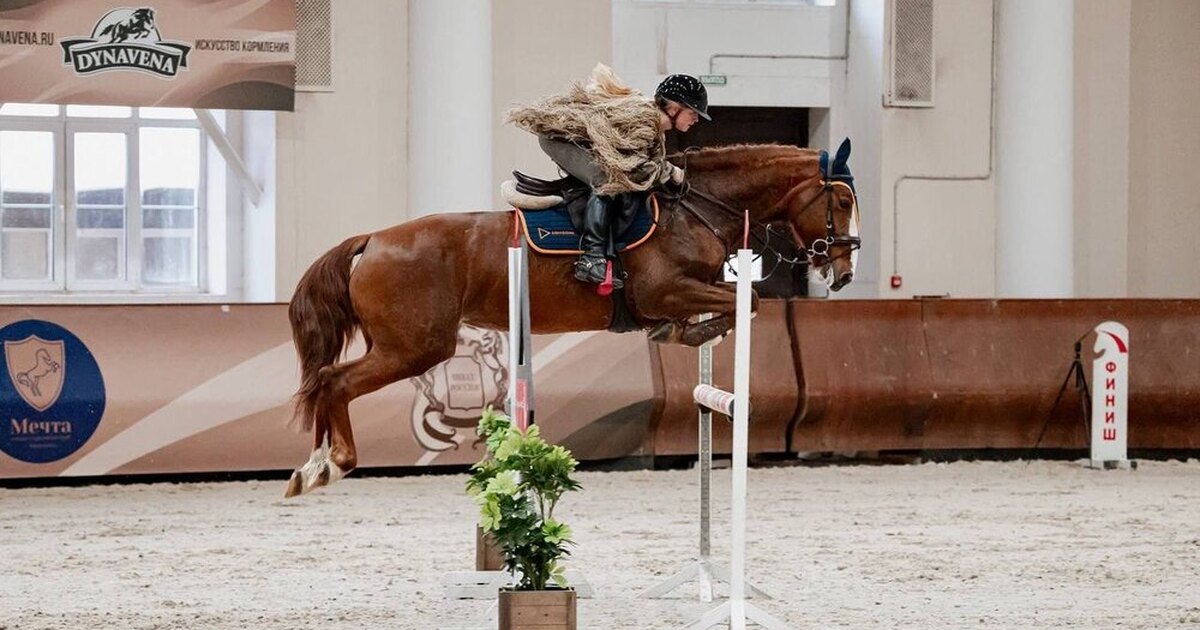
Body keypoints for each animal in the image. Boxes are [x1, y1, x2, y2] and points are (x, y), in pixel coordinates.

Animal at [284, 140, 862, 497]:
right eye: (841, 199)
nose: (844, 271)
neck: (694, 206)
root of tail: (373, 239)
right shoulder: (663, 289)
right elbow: (751, 302)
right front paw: (691, 330)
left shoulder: (682, 289)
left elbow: (739, 303)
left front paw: (685, 331)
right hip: (415, 347)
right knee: (333, 381)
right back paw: (328, 466)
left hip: (405, 346)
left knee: (325, 382)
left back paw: (310, 467)